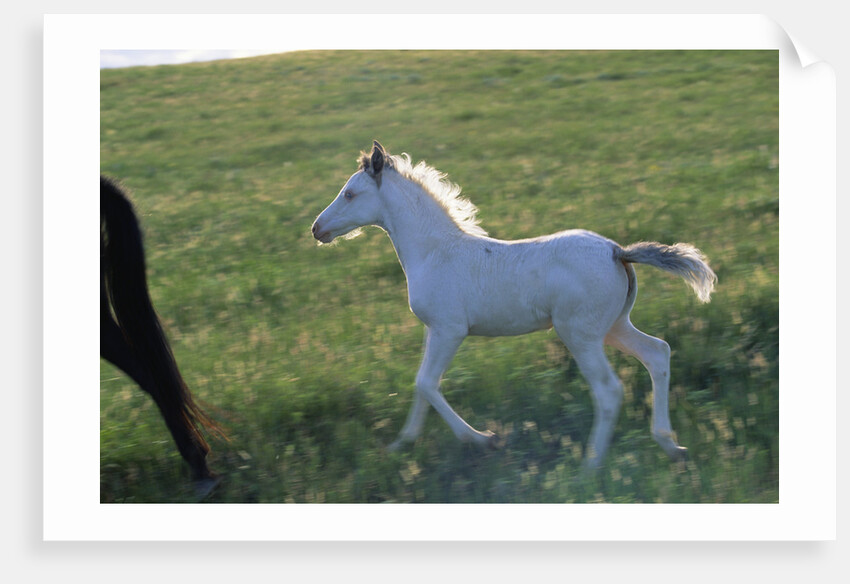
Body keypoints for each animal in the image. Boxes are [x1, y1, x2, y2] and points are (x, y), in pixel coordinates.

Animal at [312, 141, 717, 468]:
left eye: (349, 194)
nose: (317, 229)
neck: (435, 252)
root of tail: (617, 251)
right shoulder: (433, 330)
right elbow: (419, 384)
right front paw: (402, 443)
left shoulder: (449, 330)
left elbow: (428, 382)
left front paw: (483, 439)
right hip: (615, 326)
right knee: (657, 353)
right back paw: (671, 446)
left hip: (580, 333)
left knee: (608, 390)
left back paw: (591, 465)